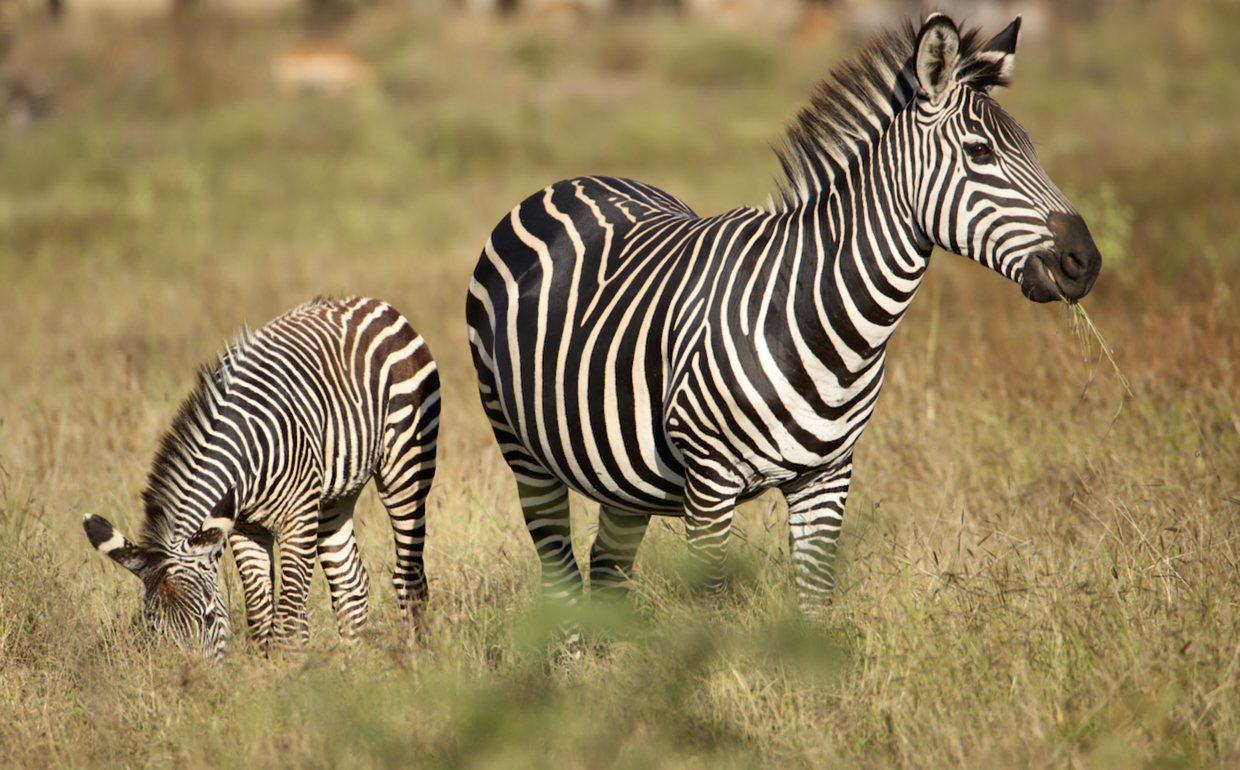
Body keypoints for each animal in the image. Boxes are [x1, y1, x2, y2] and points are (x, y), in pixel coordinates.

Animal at [84, 293, 441, 654]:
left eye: (209, 617)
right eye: (155, 629)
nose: (191, 671)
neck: (245, 449)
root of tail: (366, 302)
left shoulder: (297, 519)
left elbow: (289, 618)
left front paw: (291, 665)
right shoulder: (244, 527)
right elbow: (260, 614)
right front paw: (265, 663)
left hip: (406, 463)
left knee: (408, 573)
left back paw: (415, 652)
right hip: (335, 495)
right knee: (350, 583)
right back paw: (350, 662)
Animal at [466, 13, 1106, 617]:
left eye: (1032, 150)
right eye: (980, 152)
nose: (1087, 262)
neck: (829, 326)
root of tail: (570, 180)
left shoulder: (827, 478)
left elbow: (815, 601)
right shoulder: (709, 482)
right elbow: (710, 608)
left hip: (621, 476)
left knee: (606, 573)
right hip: (522, 450)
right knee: (562, 578)